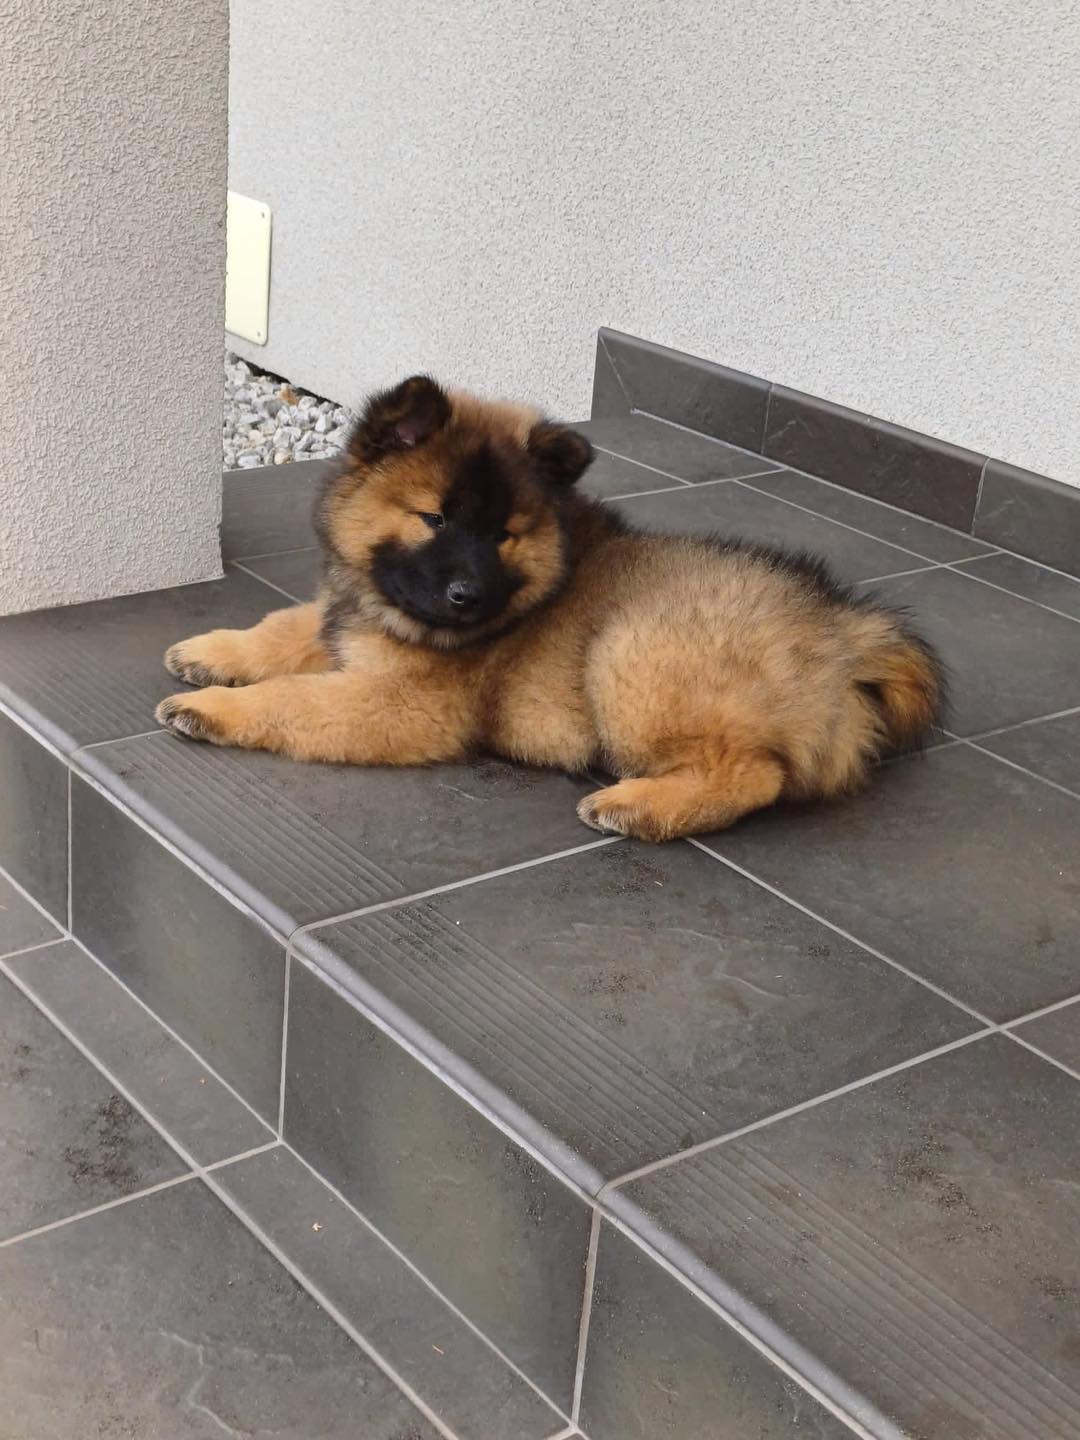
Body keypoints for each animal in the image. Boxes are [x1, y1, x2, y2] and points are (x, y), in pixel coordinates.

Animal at [155, 375, 944, 841]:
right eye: (434, 519)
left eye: (503, 534)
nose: (466, 596)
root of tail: (842, 633)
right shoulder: (349, 615)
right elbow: (284, 629)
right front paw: (210, 652)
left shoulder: (403, 705)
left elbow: (291, 698)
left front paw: (215, 710)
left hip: (633, 652)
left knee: (755, 774)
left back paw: (638, 806)